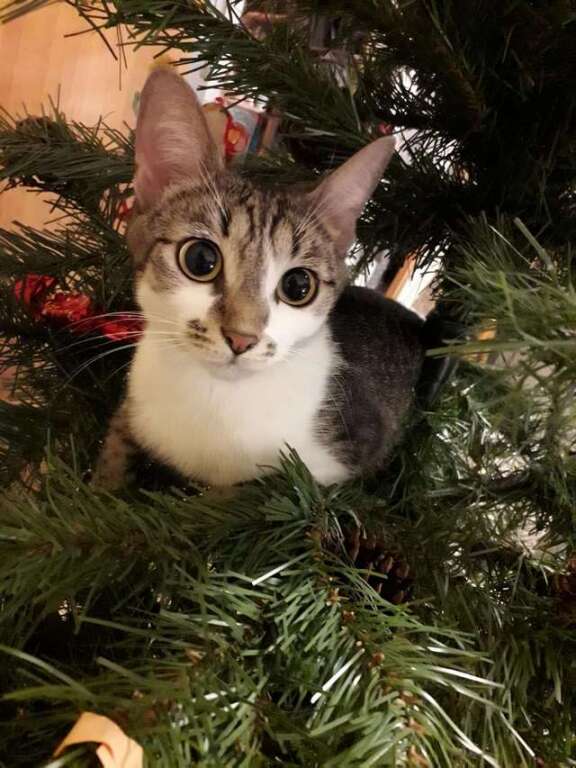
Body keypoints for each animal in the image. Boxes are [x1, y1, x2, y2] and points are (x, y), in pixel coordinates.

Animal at [93, 69, 426, 490]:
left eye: (299, 286)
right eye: (201, 259)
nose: (241, 338)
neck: (215, 398)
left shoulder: (340, 456)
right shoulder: (133, 409)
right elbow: (110, 462)